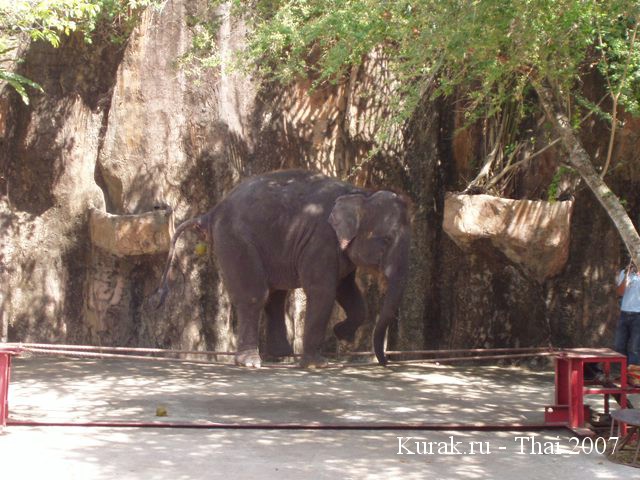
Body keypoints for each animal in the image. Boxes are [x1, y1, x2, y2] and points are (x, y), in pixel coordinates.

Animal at [154, 169, 411, 368]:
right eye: (386, 240)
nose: (385, 362)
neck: (361, 192)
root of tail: (211, 212)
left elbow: (347, 291)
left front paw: (341, 334)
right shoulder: (321, 240)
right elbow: (322, 291)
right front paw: (318, 364)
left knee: (275, 297)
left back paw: (281, 355)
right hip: (235, 240)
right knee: (254, 295)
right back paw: (252, 362)